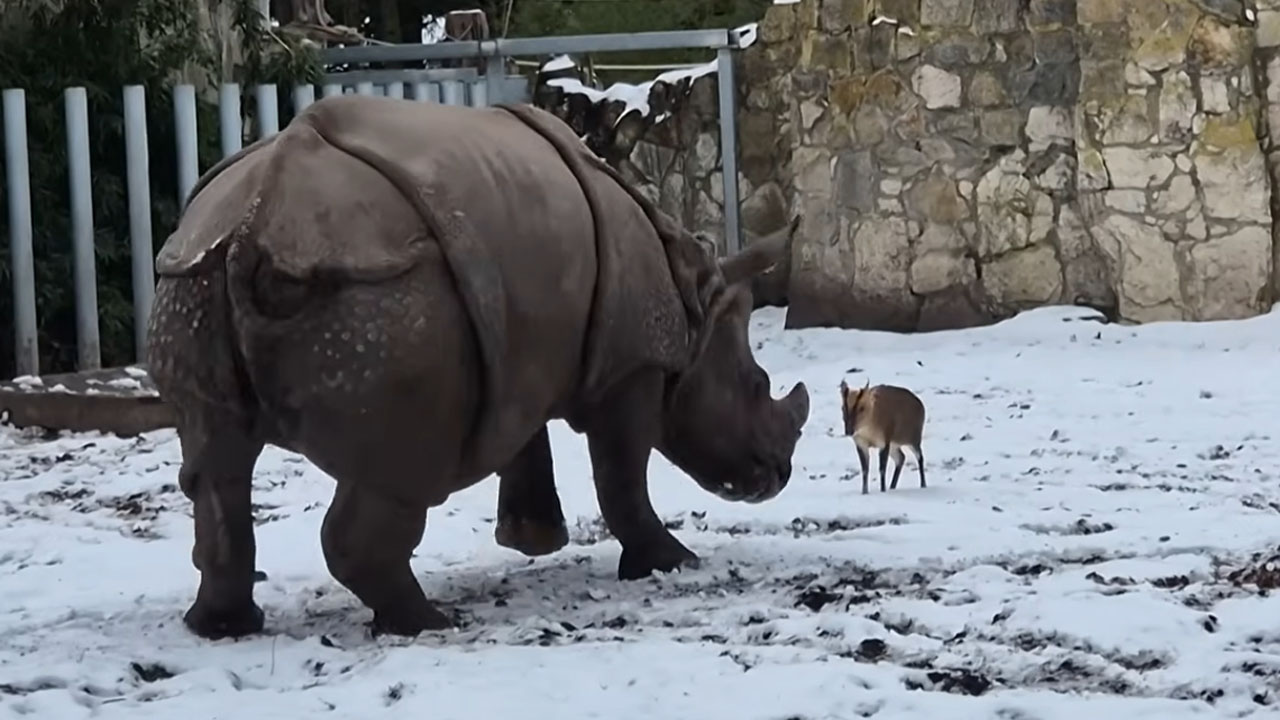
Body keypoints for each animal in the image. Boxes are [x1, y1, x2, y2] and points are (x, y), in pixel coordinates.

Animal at [146, 94, 810, 640]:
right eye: (758, 386)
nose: (777, 476)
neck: (695, 303)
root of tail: (258, 217)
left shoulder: (517, 349)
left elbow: (526, 437)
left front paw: (533, 540)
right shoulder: (632, 368)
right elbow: (621, 476)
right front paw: (671, 564)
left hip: (191, 277)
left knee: (216, 464)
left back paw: (222, 628)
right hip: (384, 298)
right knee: (403, 467)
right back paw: (429, 624)